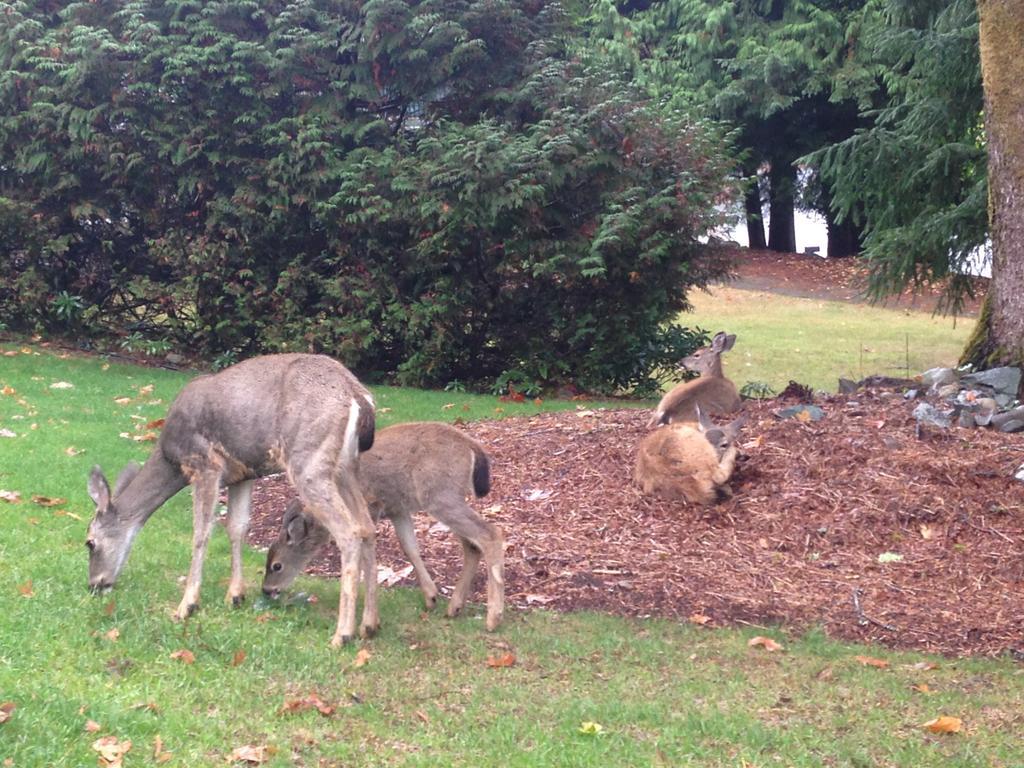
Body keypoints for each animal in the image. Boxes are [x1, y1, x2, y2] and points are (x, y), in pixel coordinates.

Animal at [86, 354, 378, 651]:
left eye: (90, 543)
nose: (94, 585)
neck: (171, 460)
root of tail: (358, 397)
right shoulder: (243, 474)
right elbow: (237, 528)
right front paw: (235, 596)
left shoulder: (205, 464)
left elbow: (201, 533)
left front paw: (186, 606)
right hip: (345, 468)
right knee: (367, 526)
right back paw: (369, 625)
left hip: (308, 460)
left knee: (349, 531)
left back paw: (342, 634)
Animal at [262, 423, 505, 634]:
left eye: (277, 565)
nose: (266, 590)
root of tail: (473, 448)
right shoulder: (398, 509)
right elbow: (409, 548)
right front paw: (431, 596)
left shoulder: (372, 506)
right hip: (447, 499)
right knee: (471, 545)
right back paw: (455, 607)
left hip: (440, 496)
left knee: (490, 534)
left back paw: (493, 618)